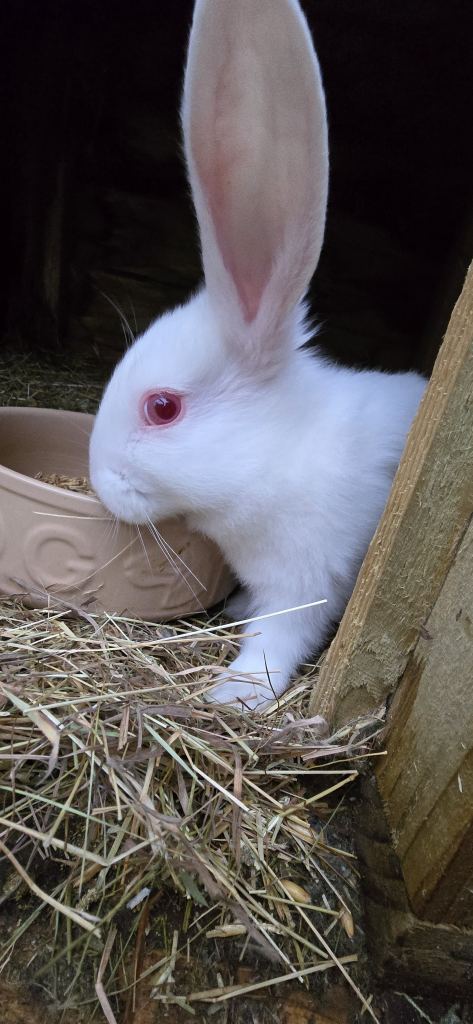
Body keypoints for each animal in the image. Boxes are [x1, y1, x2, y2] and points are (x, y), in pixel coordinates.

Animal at [89, 0, 426, 710]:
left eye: (163, 408)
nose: (100, 481)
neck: (281, 454)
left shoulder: (306, 578)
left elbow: (281, 637)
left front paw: (235, 692)